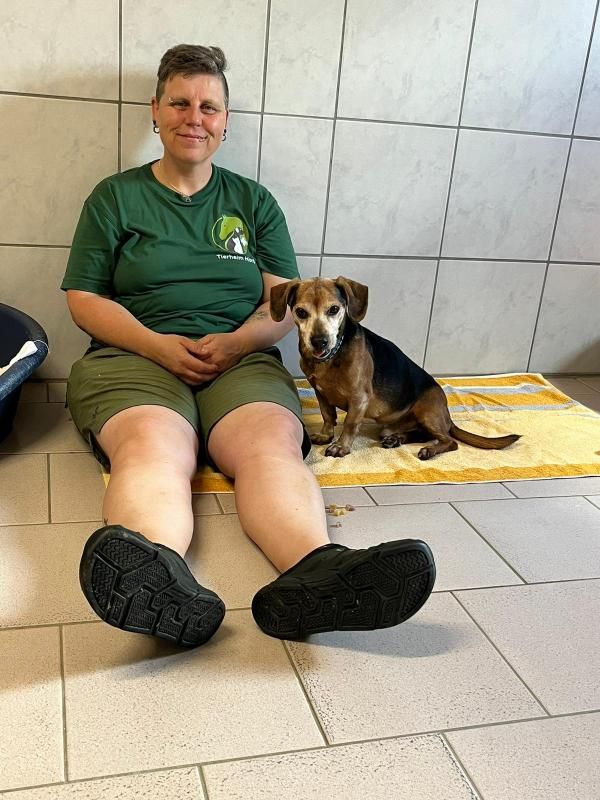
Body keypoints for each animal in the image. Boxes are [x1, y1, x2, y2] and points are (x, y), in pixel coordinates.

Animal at [270, 276, 520, 459]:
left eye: (334, 309)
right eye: (301, 312)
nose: (319, 341)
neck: (332, 357)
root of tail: (447, 416)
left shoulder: (359, 398)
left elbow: (350, 424)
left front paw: (341, 446)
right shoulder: (320, 392)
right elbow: (328, 416)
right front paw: (325, 436)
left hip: (427, 412)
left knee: (449, 441)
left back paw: (430, 450)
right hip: (398, 425)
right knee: (420, 434)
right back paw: (397, 439)